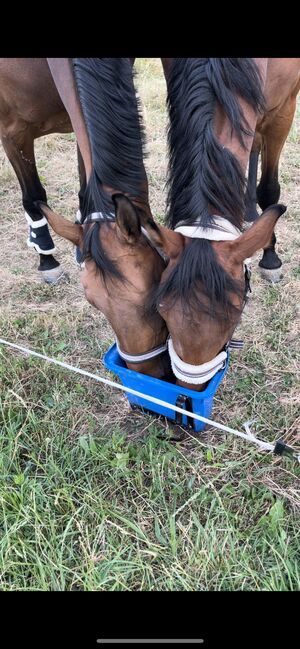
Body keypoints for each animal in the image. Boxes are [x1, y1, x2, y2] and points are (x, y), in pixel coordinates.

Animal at [138, 57, 298, 390]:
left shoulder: (284, 110)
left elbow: (269, 190)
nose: (188, 398)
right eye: (161, 309)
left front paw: (270, 258)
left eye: (235, 315)